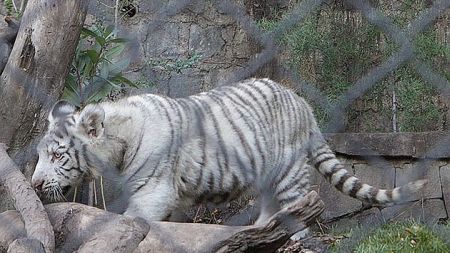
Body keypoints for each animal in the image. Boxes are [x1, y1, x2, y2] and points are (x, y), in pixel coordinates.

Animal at [31, 77, 426, 233]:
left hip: (289, 175)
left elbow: (135, 220)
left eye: (58, 156)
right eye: (41, 155)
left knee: (297, 216)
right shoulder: (175, 198)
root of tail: (303, 104)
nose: (33, 183)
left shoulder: (155, 192)